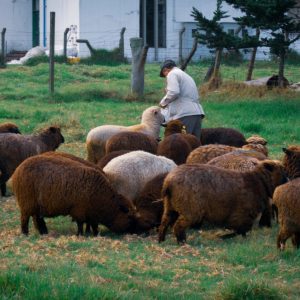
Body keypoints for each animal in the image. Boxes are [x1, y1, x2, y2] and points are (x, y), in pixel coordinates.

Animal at [158, 159, 288, 244]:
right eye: (282, 170)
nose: (288, 180)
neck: (258, 182)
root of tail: (168, 182)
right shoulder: (242, 214)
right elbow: (242, 229)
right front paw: (226, 237)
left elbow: (242, 230)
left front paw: (226, 236)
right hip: (190, 209)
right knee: (178, 226)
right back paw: (182, 241)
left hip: (170, 205)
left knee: (164, 222)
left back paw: (161, 240)